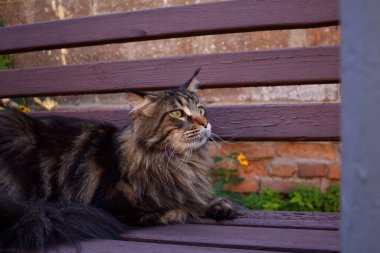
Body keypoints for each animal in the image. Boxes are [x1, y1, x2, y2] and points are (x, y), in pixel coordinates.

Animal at [0, 68, 236, 252]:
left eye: (201, 110)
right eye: (177, 113)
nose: (206, 123)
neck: (179, 162)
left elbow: (197, 200)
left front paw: (219, 205)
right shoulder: (111, 206)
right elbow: (175, 208)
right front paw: (183, 210)